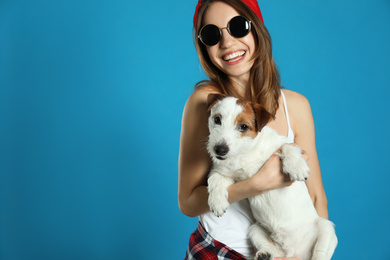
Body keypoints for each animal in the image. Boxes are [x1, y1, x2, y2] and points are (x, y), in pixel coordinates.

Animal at [206, 94, 336, 260]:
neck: (247, 152)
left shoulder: (286, 144)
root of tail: (294, 253)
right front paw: (217, 202)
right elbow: (215, 179)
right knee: (272, 251)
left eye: (243, 126)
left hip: (326, 228)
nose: (219, 149)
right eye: (217, 119)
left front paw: (296, 166)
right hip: (255, 230)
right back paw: (264, 254)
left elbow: (286, 147)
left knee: (319, 253)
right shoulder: (224, 173)